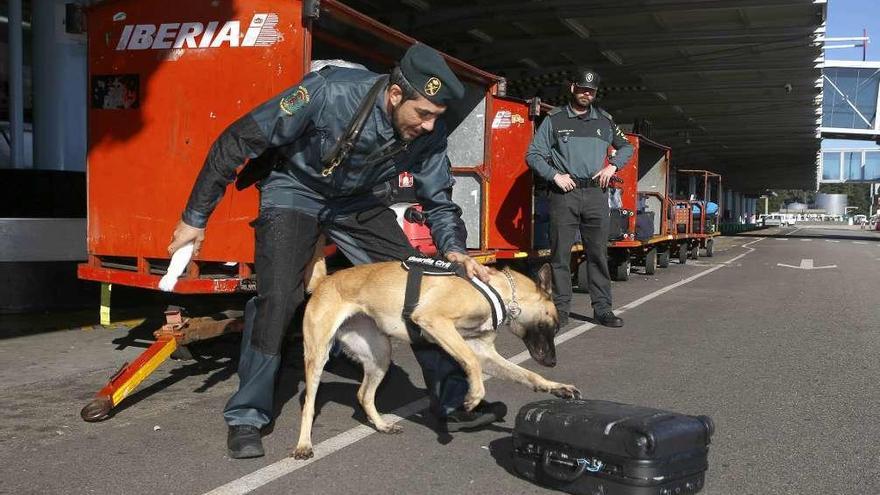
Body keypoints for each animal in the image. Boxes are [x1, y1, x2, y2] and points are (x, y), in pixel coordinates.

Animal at [292, 262, 580, 460]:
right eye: (554, 325)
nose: (553, 362)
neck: (501, 291)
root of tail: (325, 280)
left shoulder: (484, 351)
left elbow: (526, 375)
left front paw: (555, 386)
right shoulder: (435, 320)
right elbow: (471, 363)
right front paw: (474, 396)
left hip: (380, 355)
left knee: (363, 394)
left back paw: (382, 425)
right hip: (318, 356)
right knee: (309, 404)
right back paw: (304, 444)